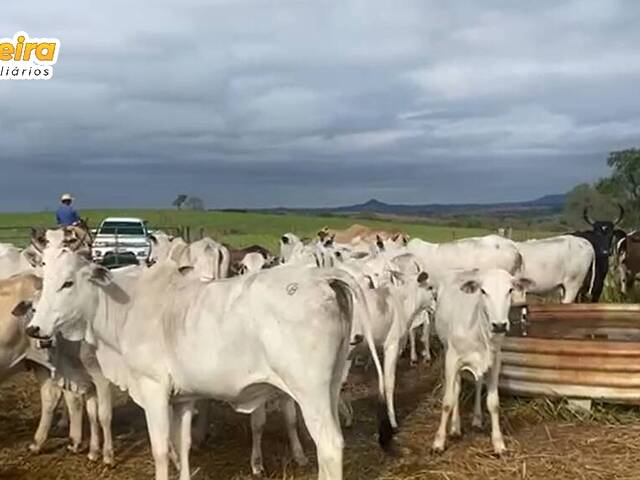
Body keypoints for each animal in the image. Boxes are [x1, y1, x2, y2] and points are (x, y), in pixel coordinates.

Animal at [27, 242, 390, 480]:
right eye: (44, 281)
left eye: (68, 282)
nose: (34, 328)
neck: (127, 307)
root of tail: (320, 277)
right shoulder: (182, 399)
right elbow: (183, 445)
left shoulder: (153, 389)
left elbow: (161, 449)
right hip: (329, 387)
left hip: (310, 392)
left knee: (329, 446)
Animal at [432, 270, 532, 454]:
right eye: (483, 291)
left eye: (510, 290)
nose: (499, 325)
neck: (479, 329)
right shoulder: (452, 359)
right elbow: (448, 401)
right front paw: (438, 442)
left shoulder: (495, 361)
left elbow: (493, 403)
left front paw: (499, 443)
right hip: (448, 350)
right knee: (456, 388)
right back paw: (455, 427)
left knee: (478, 383)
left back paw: (477, 419)